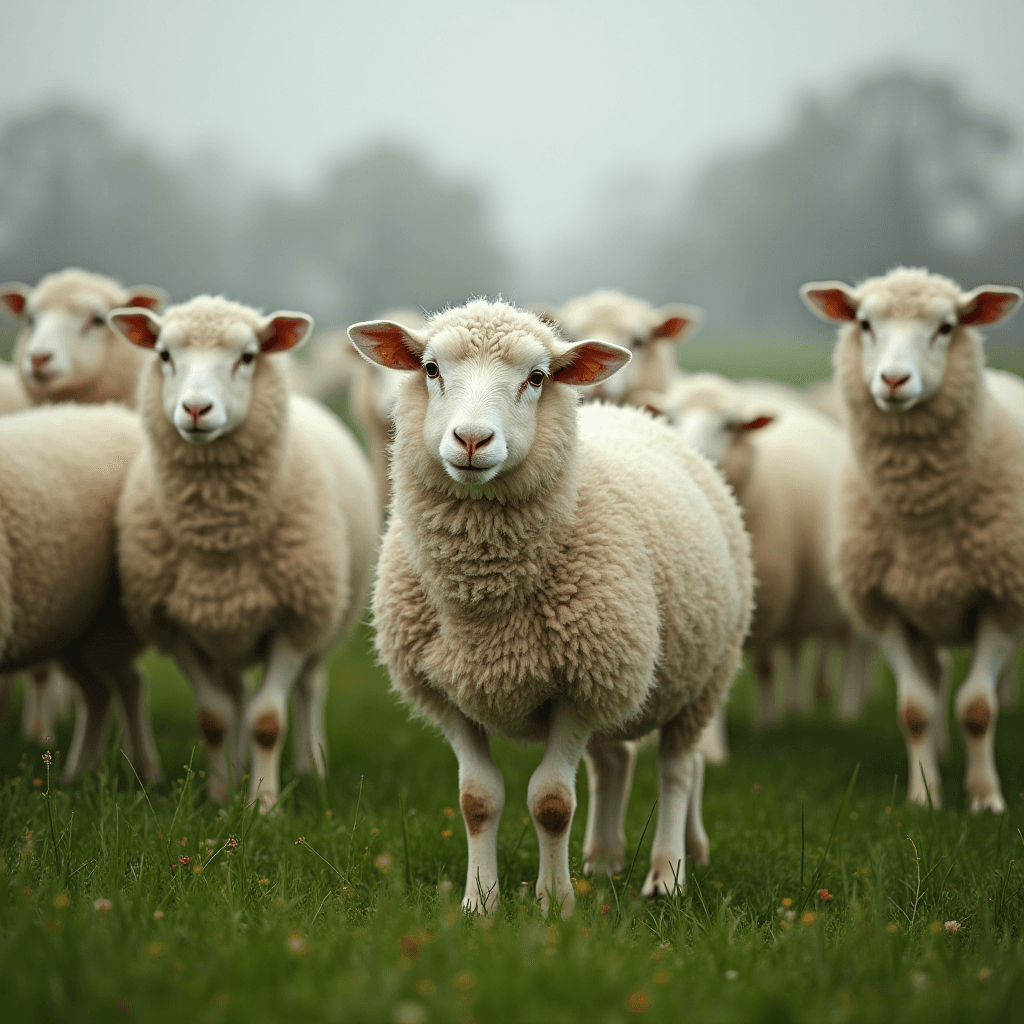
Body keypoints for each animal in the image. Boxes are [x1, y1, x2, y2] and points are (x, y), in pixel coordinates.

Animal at [0, 401, 159, 782]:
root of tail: (115, 412)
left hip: (109, 623)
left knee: (129, 683)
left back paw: (142, 770)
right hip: (70, 628)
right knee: (99, 692)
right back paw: (81, 774)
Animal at [110, 292, 380, 811]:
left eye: (248, 357)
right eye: (164, 355)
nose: (196, 410)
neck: (219, 541)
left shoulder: (295, 622)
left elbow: (267, 721)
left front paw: (263, 805)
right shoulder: (175, 626)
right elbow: (214, 717)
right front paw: (220, 796)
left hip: (325, 619)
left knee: (310, 686)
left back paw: (310, 767)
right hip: (225, 631)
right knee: (235, 693)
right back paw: (235, 769)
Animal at [798, 268, 1024, 811]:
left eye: (946, 327)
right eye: (863, 323)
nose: (894, 380)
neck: (922, 523)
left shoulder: (1003, 600)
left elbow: (979, 707)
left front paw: (986, 798)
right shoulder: (886, 609)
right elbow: (916, 708)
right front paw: (925, 797)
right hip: (928, 617)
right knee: (938, 677)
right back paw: (938, 752)